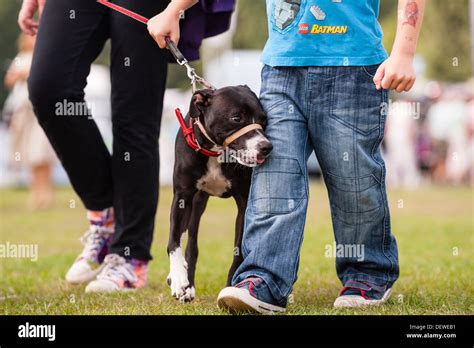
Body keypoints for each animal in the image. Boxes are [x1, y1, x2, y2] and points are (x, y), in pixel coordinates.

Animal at [168, 86, 272, 302]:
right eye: (236, 118)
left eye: (263, 119)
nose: (266, 147)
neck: (216, 152)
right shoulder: (182, 197)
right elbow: (174, 241)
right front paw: (178, 280)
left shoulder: (244, 204)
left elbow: (238, 251)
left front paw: (231, 287)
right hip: (197, 204)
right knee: (191, 244)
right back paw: (186, 284)